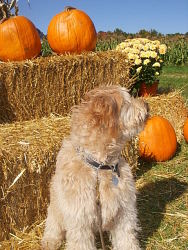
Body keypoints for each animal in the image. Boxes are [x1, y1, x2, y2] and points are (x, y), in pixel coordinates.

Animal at [41, 85, 148, 249]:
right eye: (127, 101)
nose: (147, 105)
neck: (101, 166)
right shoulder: (79, 218)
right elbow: (81, 244)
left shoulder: (124, 211)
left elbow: (126, 239)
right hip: (55, 209)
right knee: (53, 226)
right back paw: (50, 241)